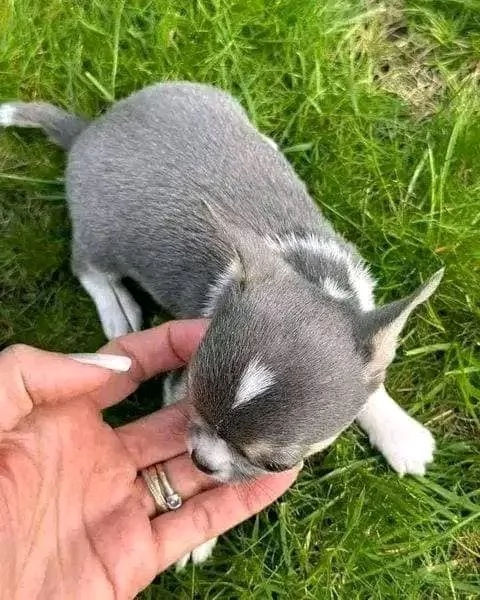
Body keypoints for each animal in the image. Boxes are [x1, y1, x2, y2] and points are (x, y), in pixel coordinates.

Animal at [0, 83, 442, 568]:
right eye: (191, 400)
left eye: (275, 465)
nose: (202, 461)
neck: (306, 274)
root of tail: (88, 130)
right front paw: (196, 538)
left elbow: (371, 383)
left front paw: (399, 432)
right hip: (100, 235)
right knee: (88, 266)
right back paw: (116, 305)